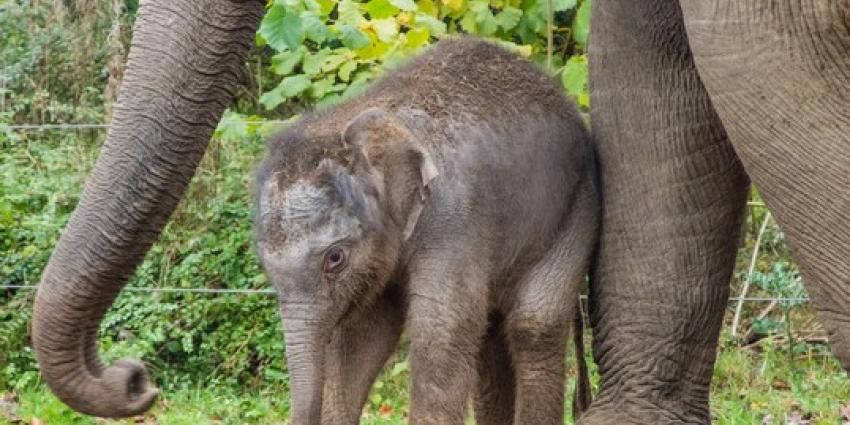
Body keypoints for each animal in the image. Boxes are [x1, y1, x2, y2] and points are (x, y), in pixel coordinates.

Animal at [255, 37, 600, 424]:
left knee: (533, 326)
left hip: (579, 208)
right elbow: (360, 337)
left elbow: (441, 333)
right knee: (489, 337)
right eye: (265, 266)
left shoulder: (455, 218)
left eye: (335, 258)